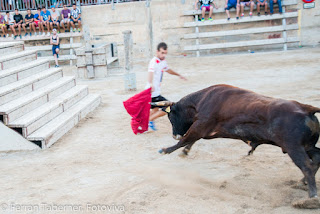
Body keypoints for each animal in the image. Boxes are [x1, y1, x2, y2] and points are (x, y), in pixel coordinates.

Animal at [151, 84, 320, 201]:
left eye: (171, 116)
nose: (174, 135)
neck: (201, 100)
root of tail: (307, 108)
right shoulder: (204, 130)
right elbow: (191, 140)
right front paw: (184, 151)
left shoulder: (200, 126)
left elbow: (187, 138)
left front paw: (165, 149)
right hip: (307, 146)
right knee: (316, 159)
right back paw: (301, 183)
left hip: (294, 147)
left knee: (307, 166)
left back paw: (312, 197)